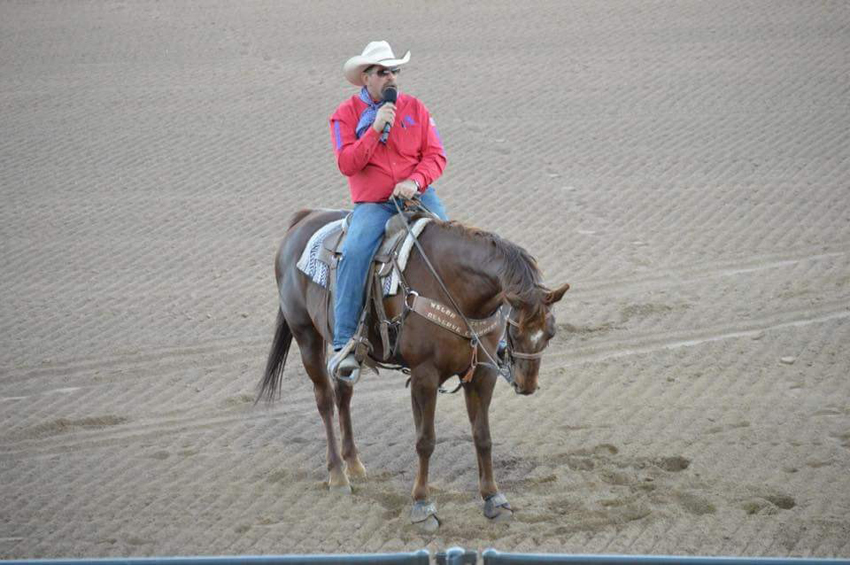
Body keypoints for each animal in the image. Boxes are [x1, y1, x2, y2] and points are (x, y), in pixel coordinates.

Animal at [255, 206, 568, 528]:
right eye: (515, 330)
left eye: (551, 332)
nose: (526, 384)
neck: (453, 288)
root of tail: (304, 219)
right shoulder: (424, 375)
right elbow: (425, 440)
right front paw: (422, 505)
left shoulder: (483, 373)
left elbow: (482, 436)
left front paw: (493, 498)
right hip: (306, 335)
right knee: (325, 400)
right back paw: (338, 475)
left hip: (342, 352)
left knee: (343, 392)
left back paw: (353, 464)